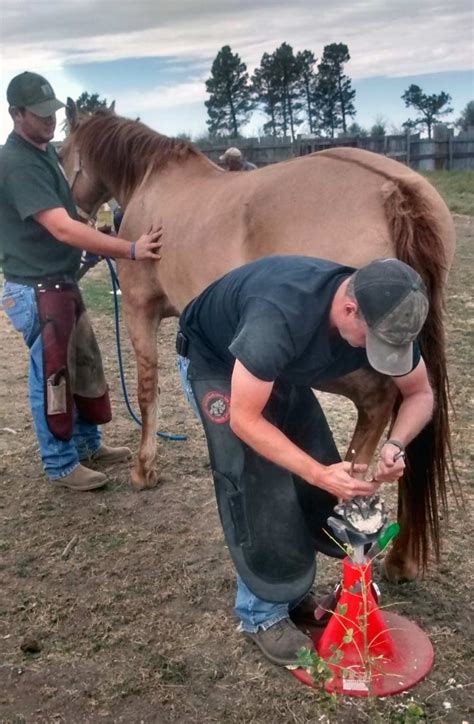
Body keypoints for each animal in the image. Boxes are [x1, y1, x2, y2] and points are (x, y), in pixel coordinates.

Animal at [59, 100, 456, 584]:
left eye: (62, 152)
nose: (74, 215)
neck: (152, 181)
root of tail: (393, 190)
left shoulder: (141, 310)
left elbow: (147, 391)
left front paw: (143, 468)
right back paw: (398, 553)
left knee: (378, 400)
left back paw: (351, 491)